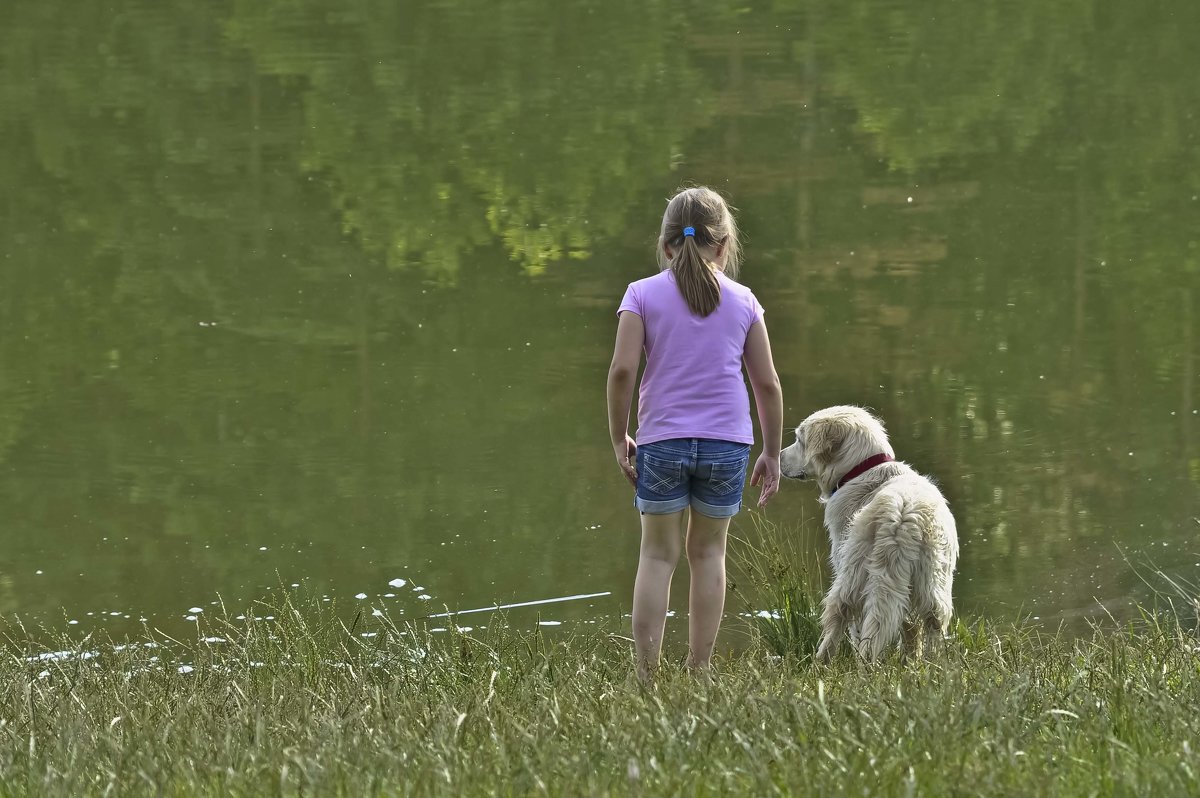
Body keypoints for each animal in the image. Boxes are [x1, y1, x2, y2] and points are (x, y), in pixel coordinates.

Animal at [777, 405, 955, 657]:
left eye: (800, 441)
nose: (778, 456)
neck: (862, 470)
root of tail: (905, 517)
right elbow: (909, 632)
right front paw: (910, 661)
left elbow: (853, 628)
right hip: (932, 584)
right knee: (932, 626)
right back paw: (930, 664)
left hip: (854, 574)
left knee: (845, 620)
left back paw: (828, 661)